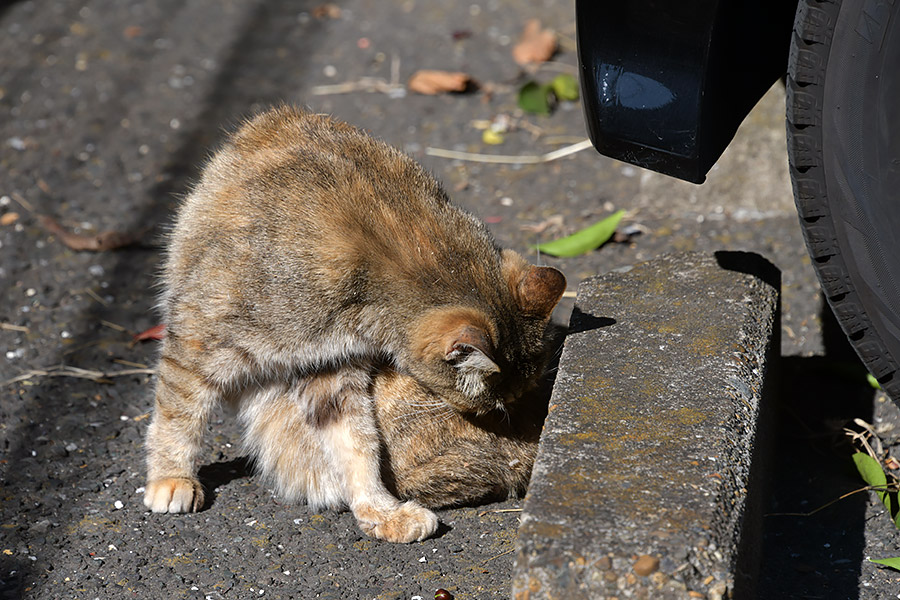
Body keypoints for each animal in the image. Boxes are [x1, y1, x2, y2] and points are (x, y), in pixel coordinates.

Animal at [142, 105, 568, 540]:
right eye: (493, 403)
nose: (516, 417)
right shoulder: (199, 335)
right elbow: (178, 412)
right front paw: (170, 477)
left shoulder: (330, 368)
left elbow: (357, 444)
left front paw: (380, 510)